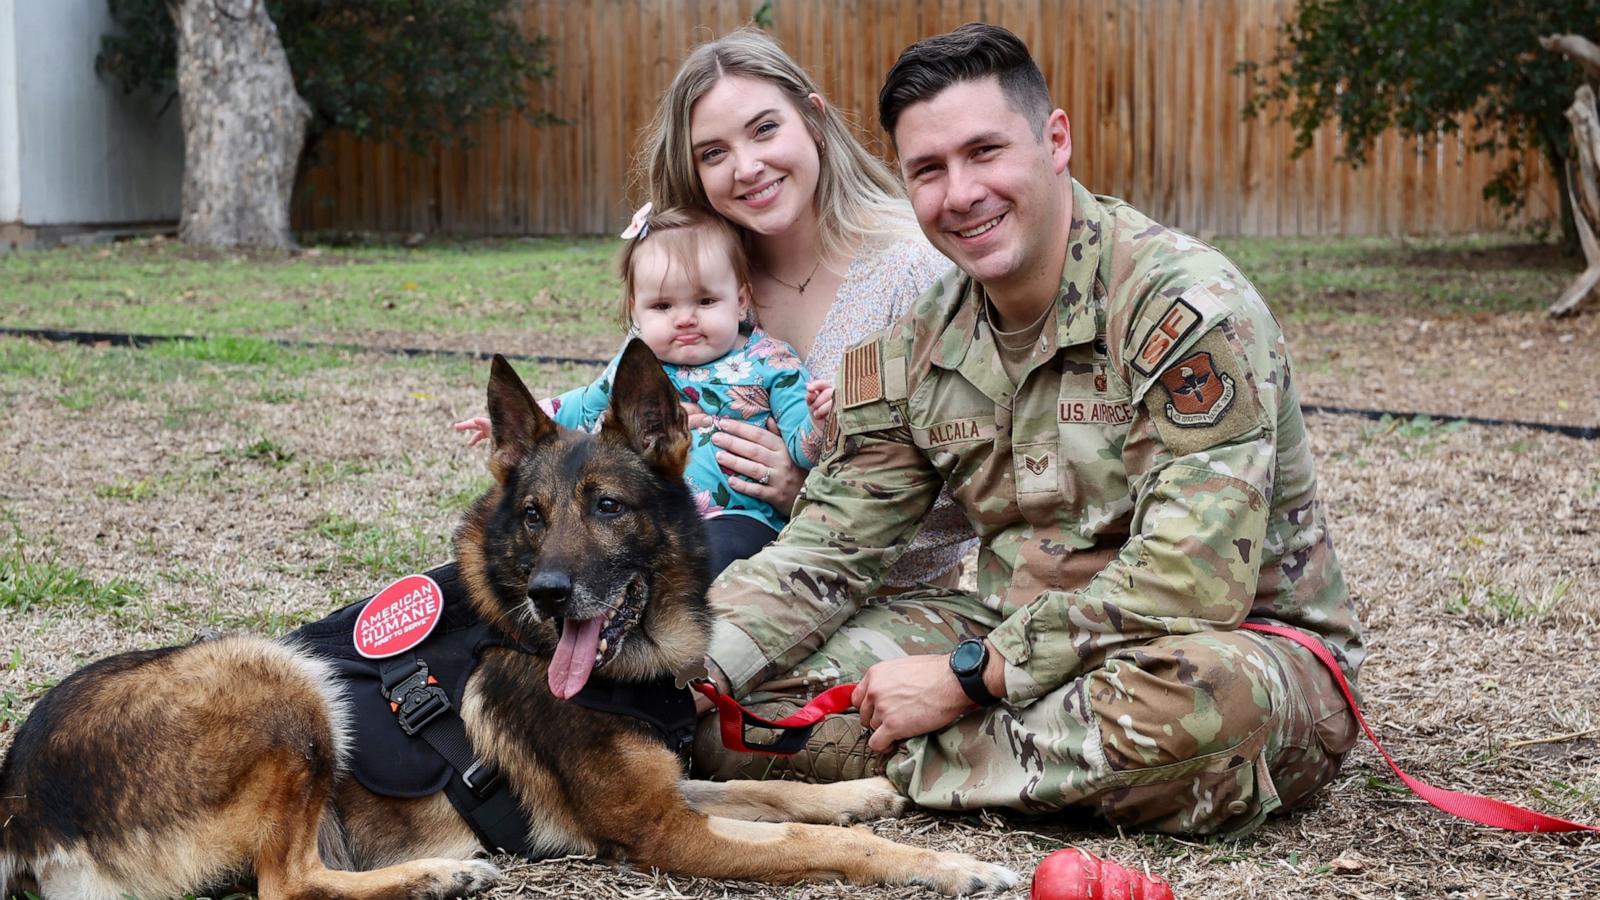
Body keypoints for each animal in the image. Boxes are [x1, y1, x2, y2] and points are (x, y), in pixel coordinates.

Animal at [0, 342, 1017, 896]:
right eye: (531, 516)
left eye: (607, 506)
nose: (553, 594)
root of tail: (19, 801)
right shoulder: (663, 834)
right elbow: (813, 842)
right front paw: (949, 867)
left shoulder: (668, 796)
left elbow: (780, 798)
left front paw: (860, 792)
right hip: (280, 680)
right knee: (283, 884)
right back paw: (439, 876)